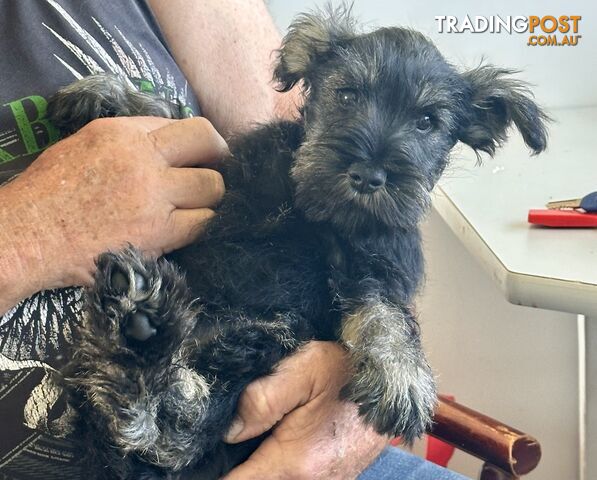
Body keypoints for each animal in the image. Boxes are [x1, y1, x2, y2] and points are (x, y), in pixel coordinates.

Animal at [49, 7, 548, 480]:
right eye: (346, 95)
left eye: (427, 122)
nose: (369, 175)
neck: (315, 211)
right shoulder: (223, 168)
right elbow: (184, 118)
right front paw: (107, 92)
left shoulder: (377, 262)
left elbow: (386, 309)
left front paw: (402, 374)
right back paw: (137, 325)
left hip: (270, 336)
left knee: (176, 429)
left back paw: (139, 326)